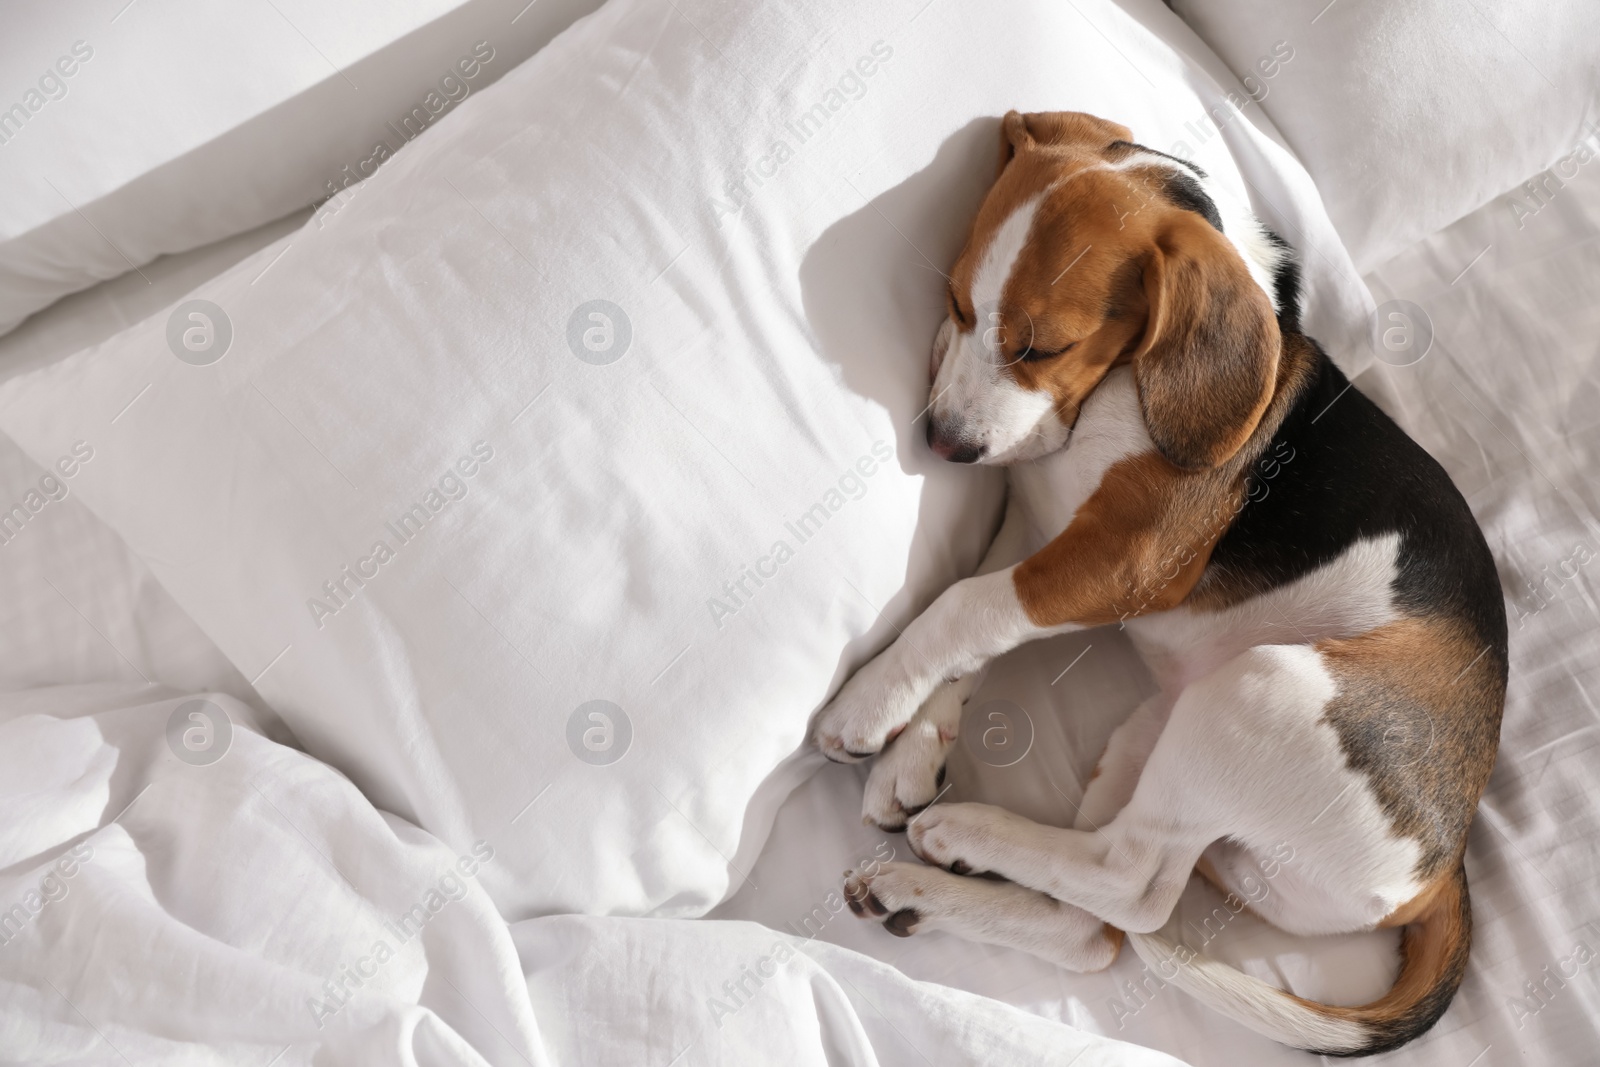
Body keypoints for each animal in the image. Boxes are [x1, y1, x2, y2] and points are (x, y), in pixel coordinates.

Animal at [819, 110, 1504, 1062]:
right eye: (956, 304)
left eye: (1041, 346)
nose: (945, 443)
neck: (1115, 392)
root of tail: (1446, 861)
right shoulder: (1039, 529)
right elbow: (973, 622)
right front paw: (913, 746)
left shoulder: (1122, 560)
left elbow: (965, 605)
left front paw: (869, 702)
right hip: (1157, 739)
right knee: (1094, 926)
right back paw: (923, 888)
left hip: (1265, 692)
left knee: (1131, 884)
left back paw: (967, 832)